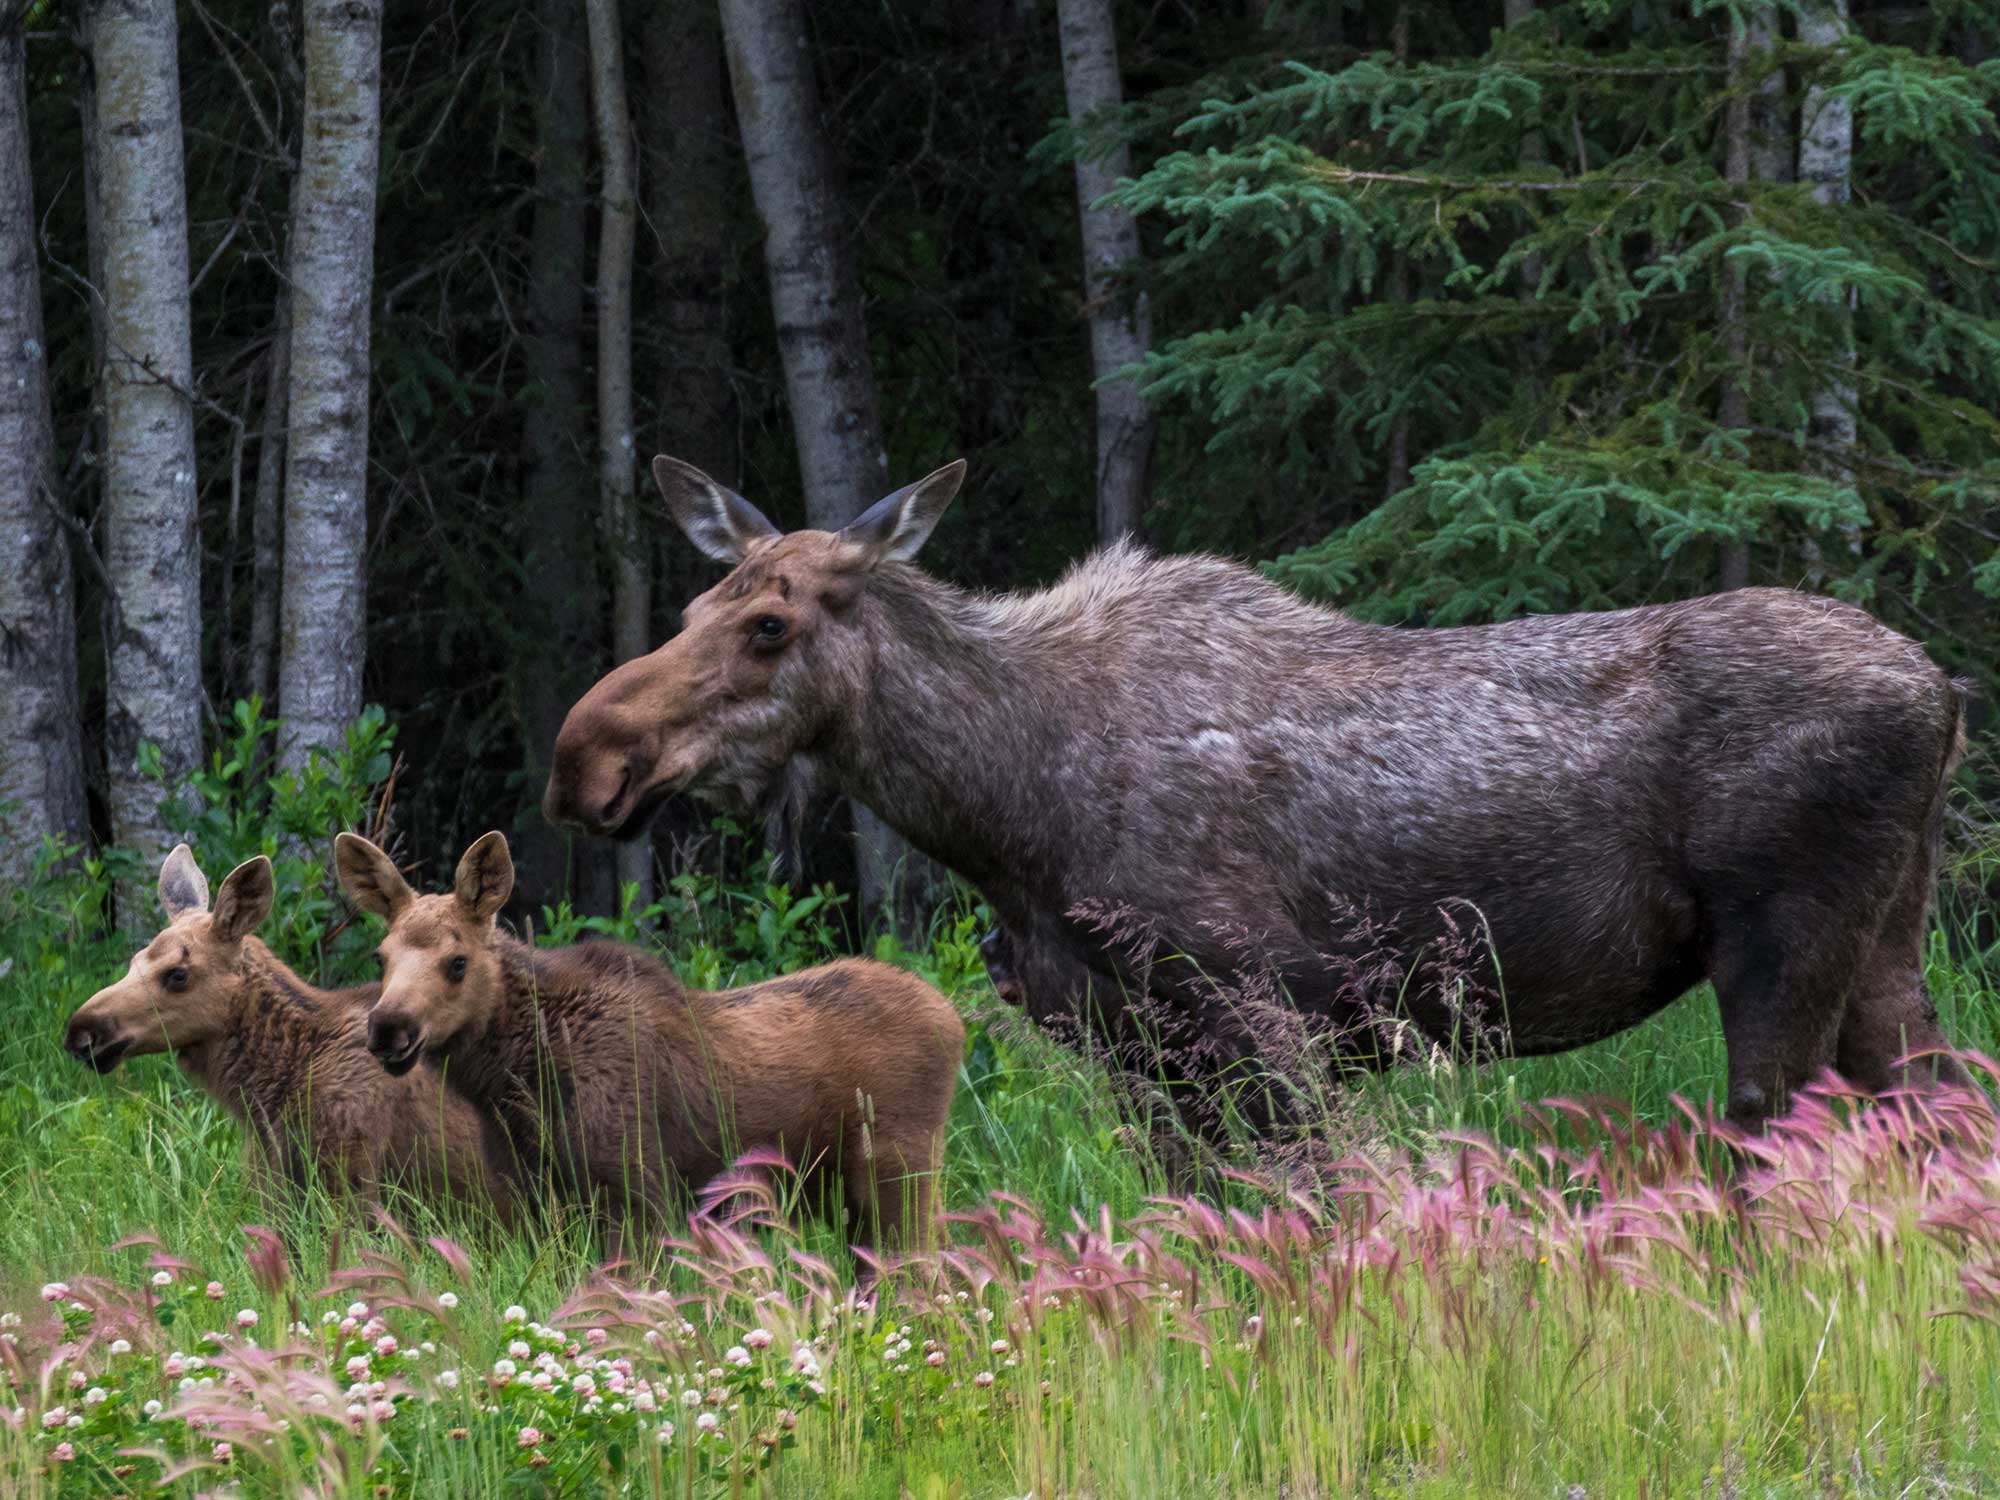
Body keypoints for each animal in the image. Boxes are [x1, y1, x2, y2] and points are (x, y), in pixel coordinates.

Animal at [340, 836, 964, 1256]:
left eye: (457, 961)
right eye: (381, 955)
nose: (389, 1027)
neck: (512, 1086)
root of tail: (956, 1020)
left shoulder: (635, 1189)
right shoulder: (536, 1199)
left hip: (899, 1173)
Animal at [544, 458, 1968, 1136]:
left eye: (771, 623)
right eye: (695, 603)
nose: (584, 758)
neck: (998, 809)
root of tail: (1943, 690)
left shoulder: (1255, 1004)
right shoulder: (1129, 1043)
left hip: (1781, 941)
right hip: (1887, 945)